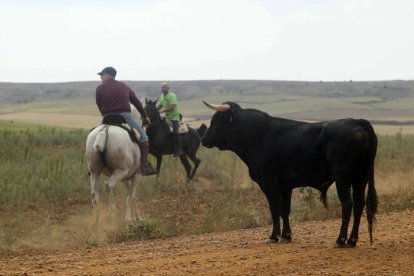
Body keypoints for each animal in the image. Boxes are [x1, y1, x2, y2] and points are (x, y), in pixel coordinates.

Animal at [201, 100, 378, 247]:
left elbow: (274, 209)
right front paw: (286, 235)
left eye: (215, 121)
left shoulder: (270, 183)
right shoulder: (285, 186)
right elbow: (285, 210)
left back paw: (340, 240)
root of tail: (357, 121)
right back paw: (352, 240)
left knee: (347, 204)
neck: (258, 136)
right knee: (359, 204)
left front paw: (273, 236)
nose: (203, 139)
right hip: (360, 178)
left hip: (343, 178)